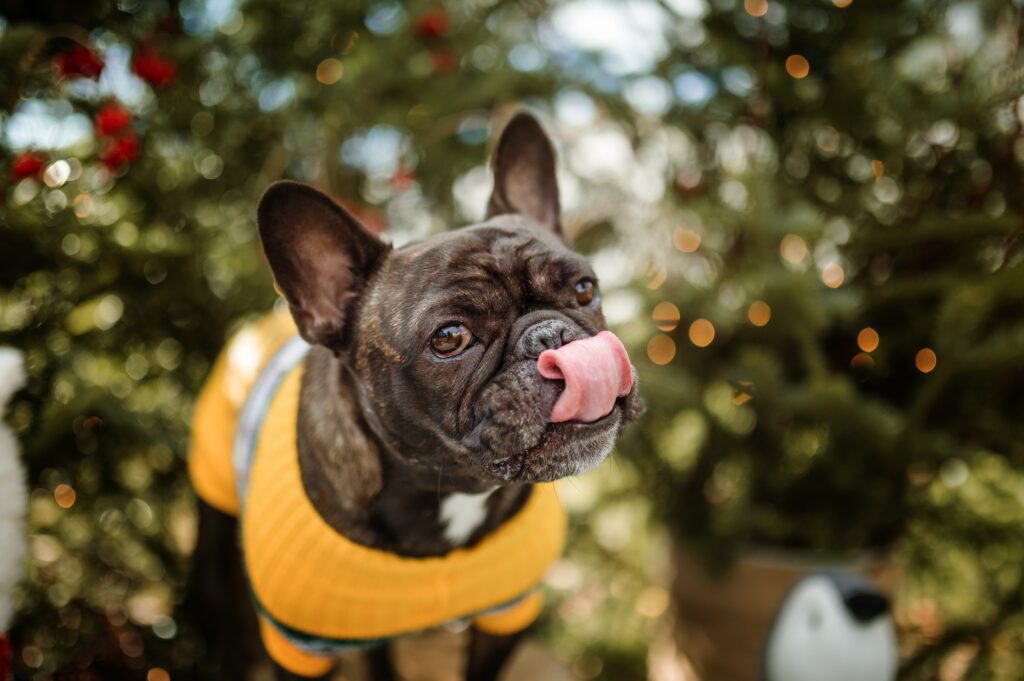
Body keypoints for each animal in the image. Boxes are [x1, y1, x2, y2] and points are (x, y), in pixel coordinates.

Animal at [185, 112, 643, 679]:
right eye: (449, 338)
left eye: (584, 289)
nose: (551, 335)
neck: (446, 493)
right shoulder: (301, 649)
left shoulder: (507, 615)